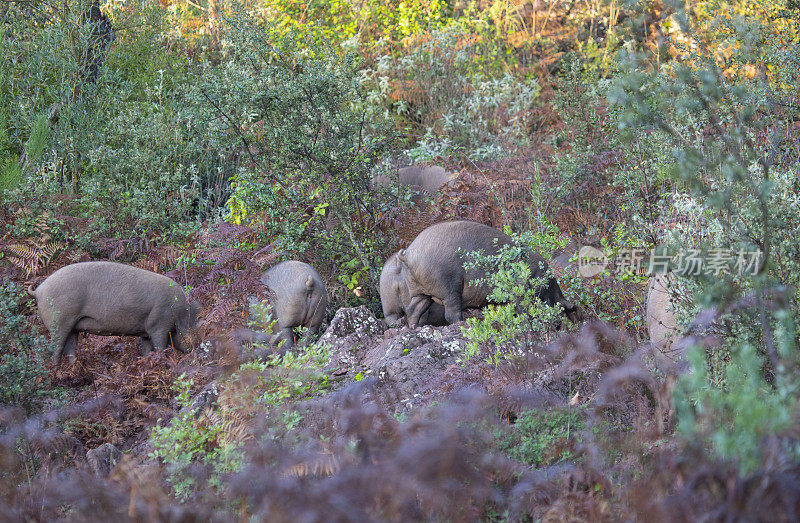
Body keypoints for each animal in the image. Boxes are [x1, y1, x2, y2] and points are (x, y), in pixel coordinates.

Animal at [27, 262, 200, 364]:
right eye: (195, 324)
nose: (196, 346)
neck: (180, 314)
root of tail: (39, 290)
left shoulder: (145, 332)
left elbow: (147, 350)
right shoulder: (159, 324)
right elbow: (160, 347)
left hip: (72, 328)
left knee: (70, 349)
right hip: (58, 322)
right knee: (56, 350)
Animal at [396, 220, 580, 328]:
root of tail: (409, 254)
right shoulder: (523, 291)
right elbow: (523, 309)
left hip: (418, 290)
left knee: (413, 309)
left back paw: (414, 329)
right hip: (448, 287)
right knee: (451, 313)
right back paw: (463, 324)